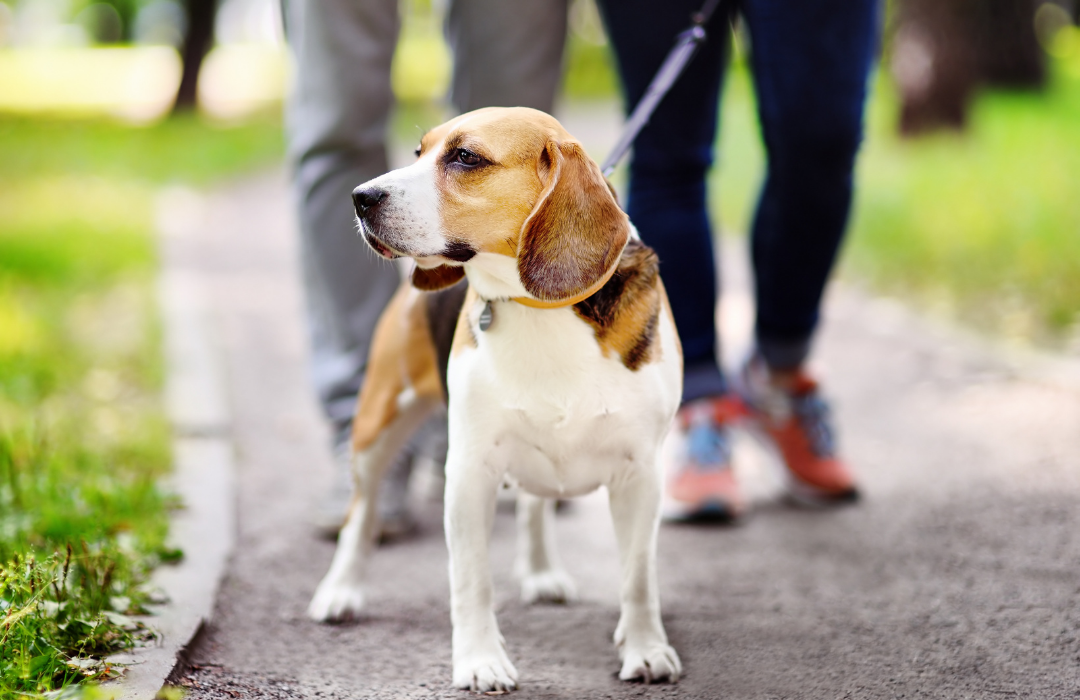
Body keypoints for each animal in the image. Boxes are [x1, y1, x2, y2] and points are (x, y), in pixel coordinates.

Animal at [308, 106, 682, 691]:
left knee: (534, 504)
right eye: (419, 153)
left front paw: (646, 649)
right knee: (361, 514)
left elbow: (638, 577)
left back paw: (542, 571)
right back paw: (340, 590)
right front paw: (480, 661)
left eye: (466, 157)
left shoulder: (641, 474)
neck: (541, 307)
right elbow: (471, 580)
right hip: (375, 427)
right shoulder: (468, 474)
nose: (361, 197)